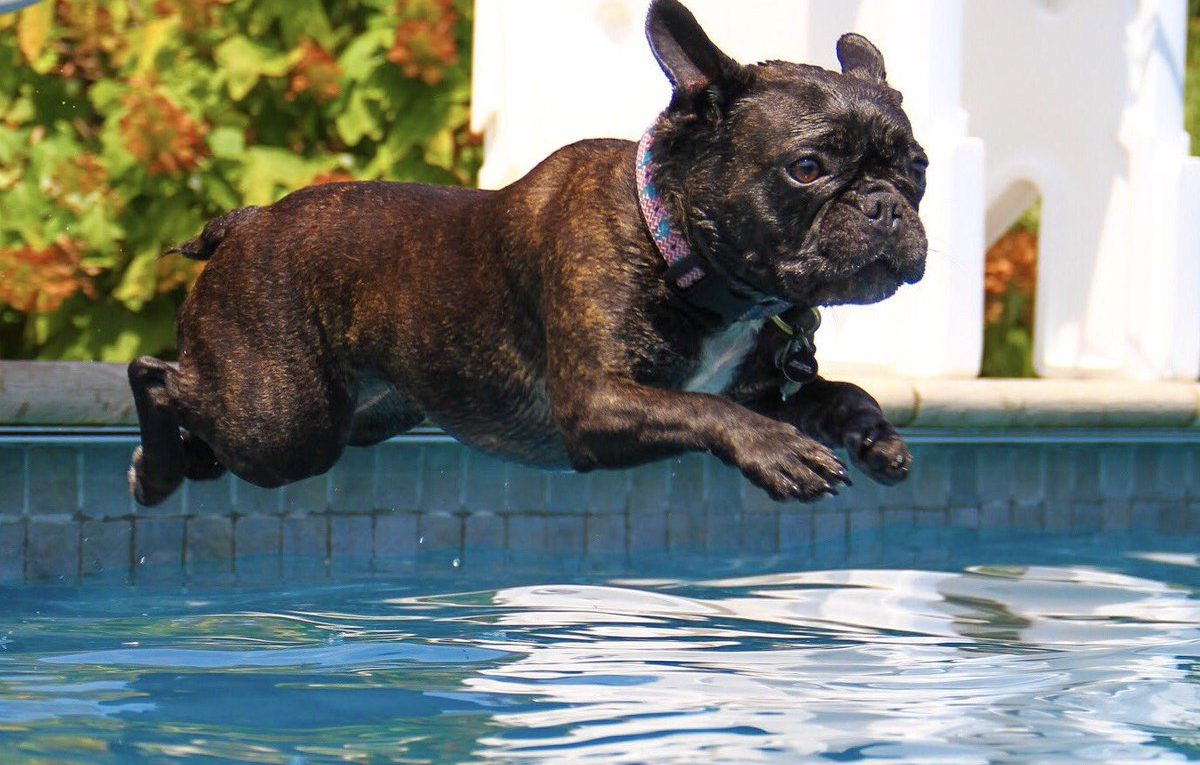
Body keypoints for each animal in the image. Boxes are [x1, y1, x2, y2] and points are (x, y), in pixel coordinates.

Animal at [129, 0, 926, 508]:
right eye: (809, 167)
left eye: (917, 167)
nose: (887, 204)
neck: (672, 242)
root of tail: (249, 221)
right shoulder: (598, 403)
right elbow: (702, 409)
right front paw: (779, 453)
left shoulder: (755, 387)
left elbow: (834, 393)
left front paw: (871, 435)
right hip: (285, 422)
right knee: (156, 376)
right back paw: (158, 463)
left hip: (356, 416)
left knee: (199, 427)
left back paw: (162, 467)